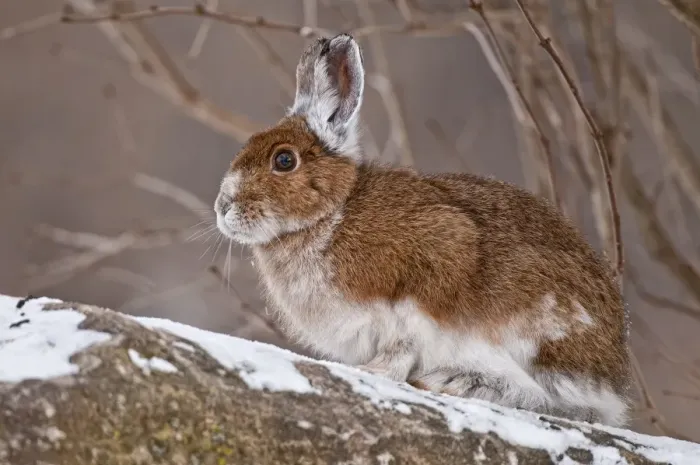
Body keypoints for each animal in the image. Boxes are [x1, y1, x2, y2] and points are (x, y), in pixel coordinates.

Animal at [213, 33, 631, 427]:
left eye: (284, 160)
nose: (222, 207)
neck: (333, 214)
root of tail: (613, 381)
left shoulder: (431, 273)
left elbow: (404, 345)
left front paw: (374, 372)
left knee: (550, 400)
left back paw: (457, 382)